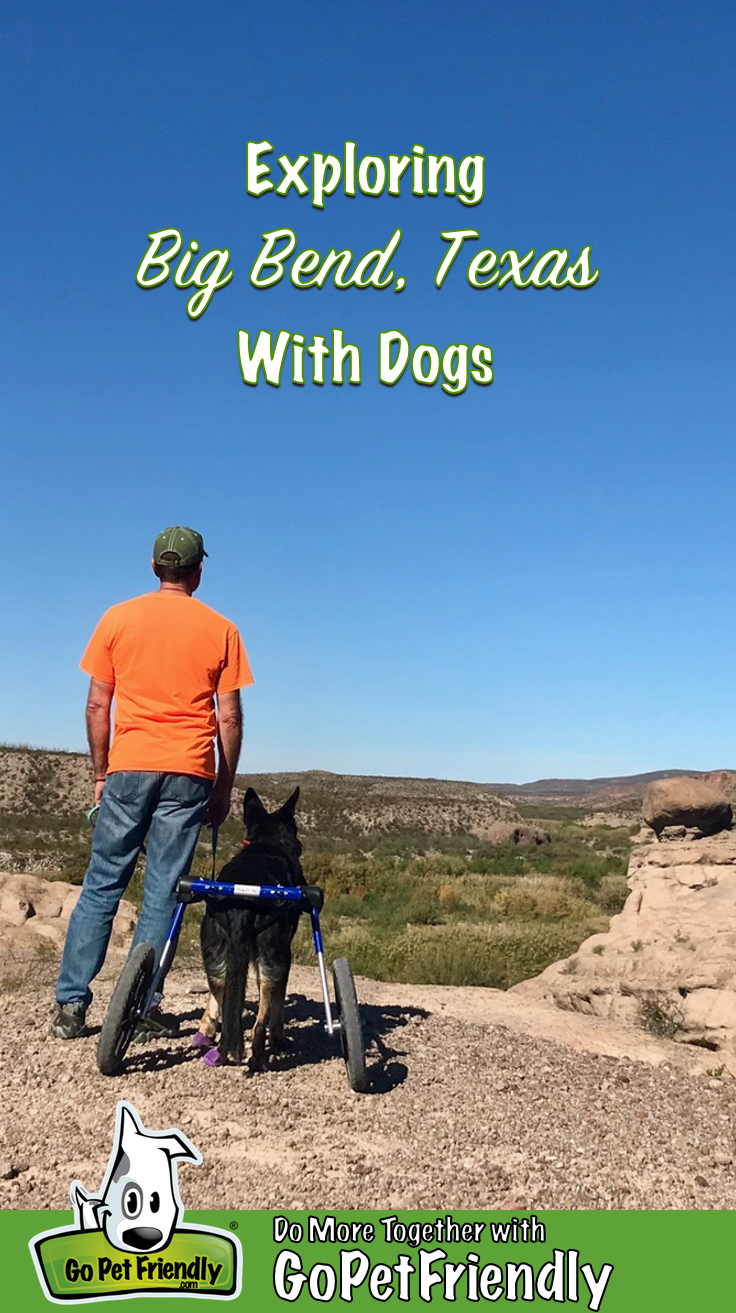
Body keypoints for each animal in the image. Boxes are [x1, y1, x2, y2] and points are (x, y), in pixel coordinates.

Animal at [195, 782, 304, 1071]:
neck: (268, 843)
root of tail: (242, 901)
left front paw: (207, 1026)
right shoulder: (285, 955)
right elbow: (277, 1004)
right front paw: (279, 1038)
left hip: (214, 951)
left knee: (223, 999)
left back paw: (218, 1045)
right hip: (272, 956)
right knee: (259, 1023)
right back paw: (258, 1057)